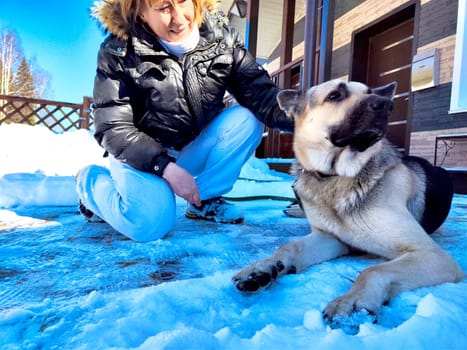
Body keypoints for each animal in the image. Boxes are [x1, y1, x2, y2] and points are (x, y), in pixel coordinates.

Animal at [232, 80, 462, 334]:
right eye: (335, 95)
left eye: (370, 92)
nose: (386, 105)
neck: (336, 177)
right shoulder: (330, 238)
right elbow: (290, 247)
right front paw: (263, 267)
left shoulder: (432, 255)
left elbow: (373, 270)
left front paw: (353, 301)